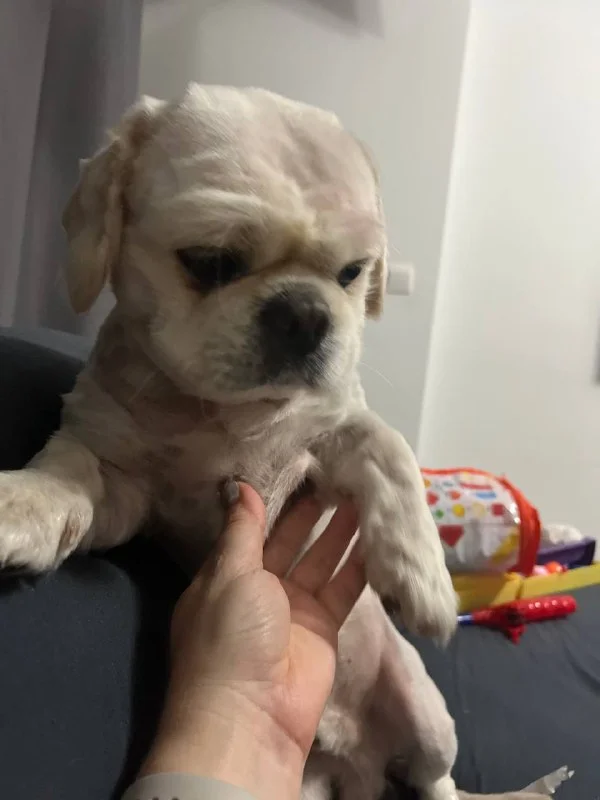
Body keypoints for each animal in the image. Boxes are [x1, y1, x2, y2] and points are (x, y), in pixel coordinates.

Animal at [0, 85, 549, 800]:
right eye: (211, 262)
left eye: (351, 274)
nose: (307, 312)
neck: (226, 415)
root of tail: (362, 763)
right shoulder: (121, 483)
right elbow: (69, 473)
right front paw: (22, 505)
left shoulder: (336, 428)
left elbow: (390, 450)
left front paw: (421, 575)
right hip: (314, 780)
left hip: (429, 719)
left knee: (438, 782)